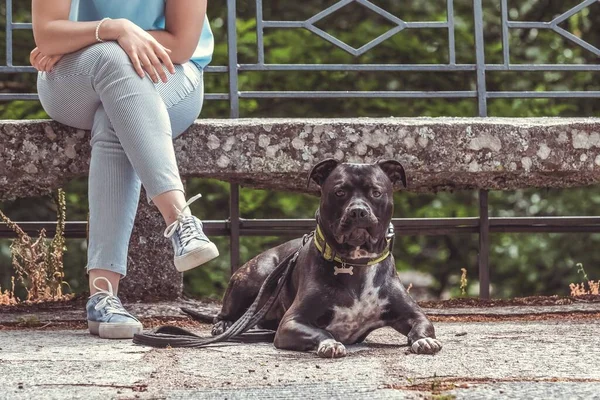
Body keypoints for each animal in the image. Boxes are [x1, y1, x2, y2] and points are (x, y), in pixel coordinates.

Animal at [212, 161, 440, 358]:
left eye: (376, 192)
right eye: (340, 192)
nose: (358, 211)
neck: (355, 262)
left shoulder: (413, 314)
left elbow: (423, 325)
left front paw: (424, 340)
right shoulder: (291, 323)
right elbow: (322, 332)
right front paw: (330, 344)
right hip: (254, 275)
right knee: (227, 312)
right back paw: (223, 325)